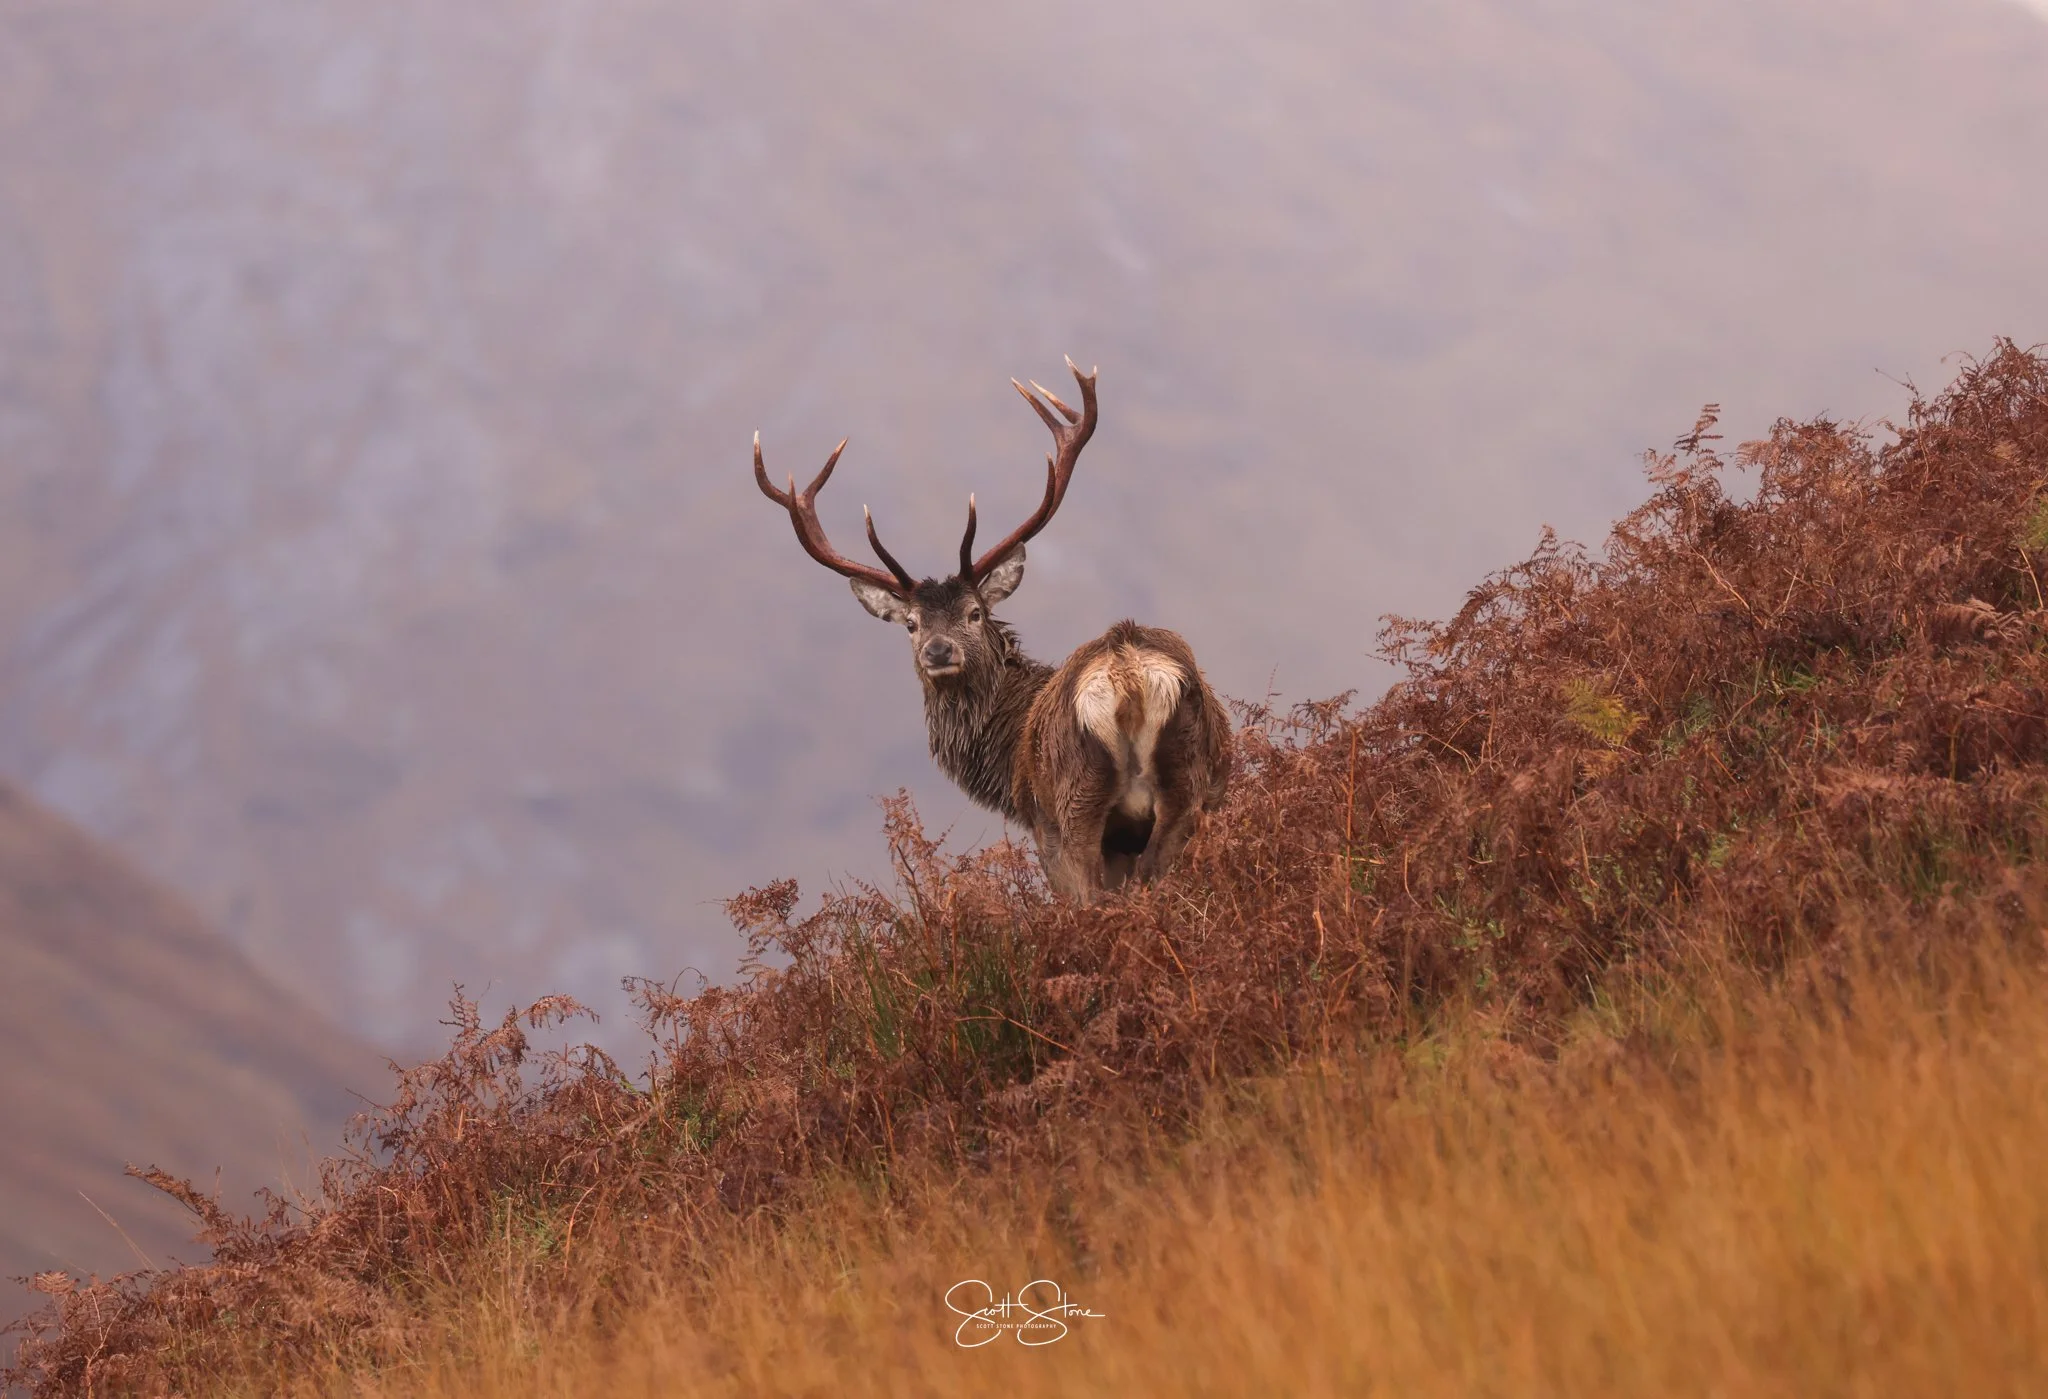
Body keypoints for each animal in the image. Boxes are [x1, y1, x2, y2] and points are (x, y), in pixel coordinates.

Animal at [753, 358, 1232, 903]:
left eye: (975, 612)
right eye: (911, 624)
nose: (938, 651)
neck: (1004, 759)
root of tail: (1127, 674)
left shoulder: (1042, 825)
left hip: (1074, 805)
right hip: (1193, 784)